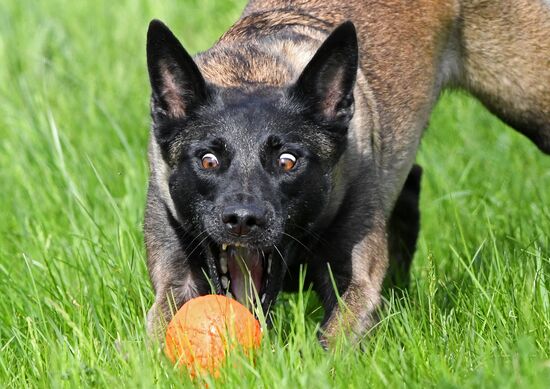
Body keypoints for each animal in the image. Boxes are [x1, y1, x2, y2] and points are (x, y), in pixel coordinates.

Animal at [146, 0, 550, 346]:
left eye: (288, 161)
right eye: (208, 160)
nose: (243, 220)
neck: (256, 70)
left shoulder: (354, 280)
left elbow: (333, 340)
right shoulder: (175, 279)